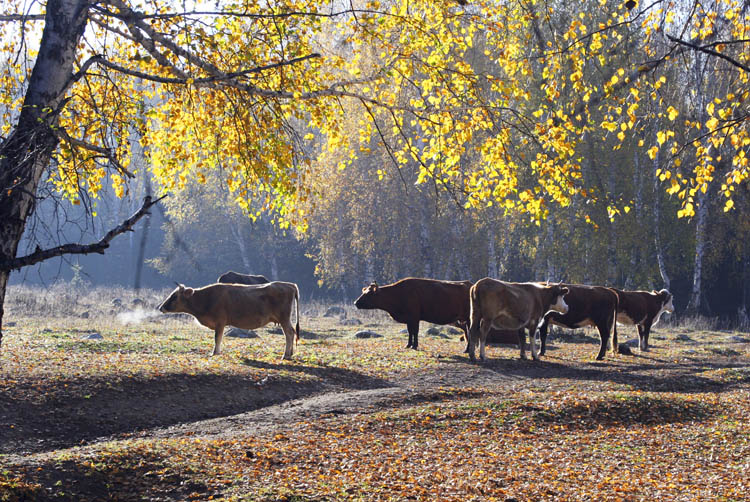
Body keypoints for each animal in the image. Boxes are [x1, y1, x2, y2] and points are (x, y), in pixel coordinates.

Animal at [158, 280, 300, 358]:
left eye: (174, 296)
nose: (161, 307)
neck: (205, 298)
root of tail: (290, 285)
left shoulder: (220, 322)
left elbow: (217, 338)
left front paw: (215, 353)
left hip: (284, 318)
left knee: (289, 333)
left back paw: (286, 355)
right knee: (292, 332)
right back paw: (291, 353)